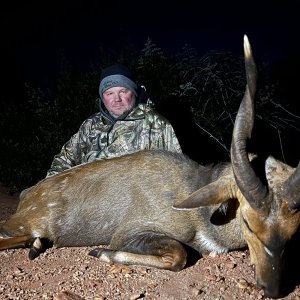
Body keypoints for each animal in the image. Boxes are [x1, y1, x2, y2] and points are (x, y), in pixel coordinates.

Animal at [0, 35, 298, 298]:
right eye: (248, 222)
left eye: (293, 231)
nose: (272, 289)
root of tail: (27, 195)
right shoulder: (129, 232)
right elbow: (178, 254)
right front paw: (101, 252)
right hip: (21, 224)